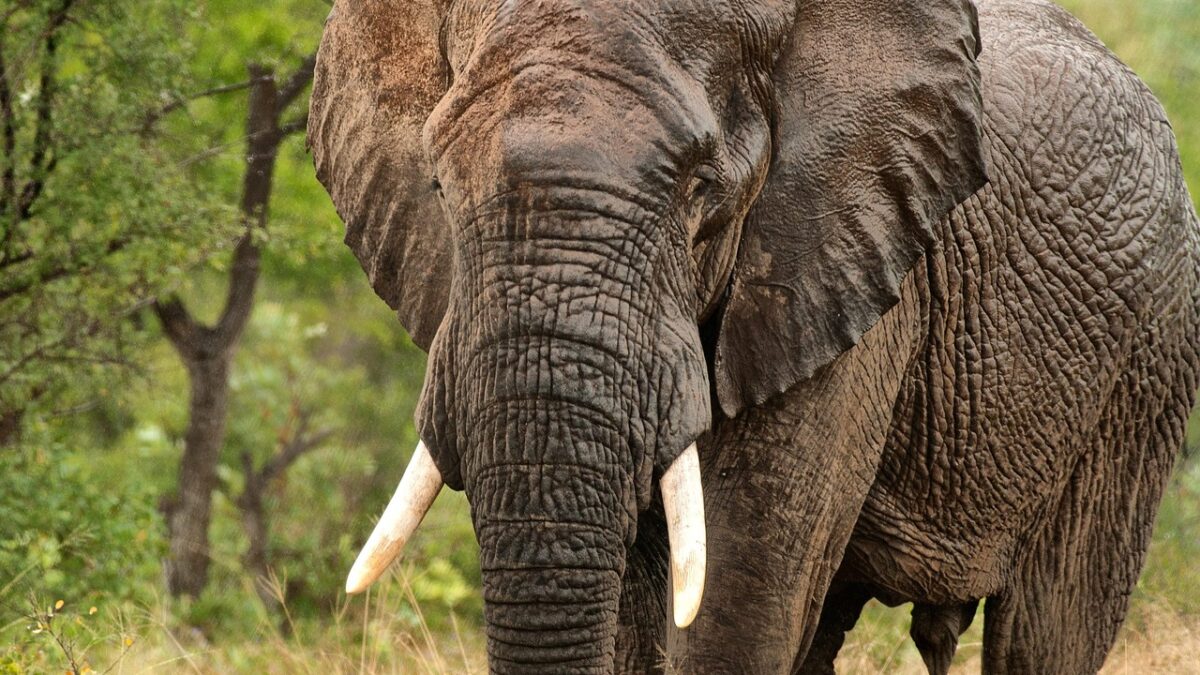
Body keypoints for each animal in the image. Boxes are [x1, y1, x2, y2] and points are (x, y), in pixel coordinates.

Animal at [307, 0, 1200, 672]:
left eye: (704, 193)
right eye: (436, 185)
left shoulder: (848, 266)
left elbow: (734, 596)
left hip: (1148, 358)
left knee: (1049, 626)